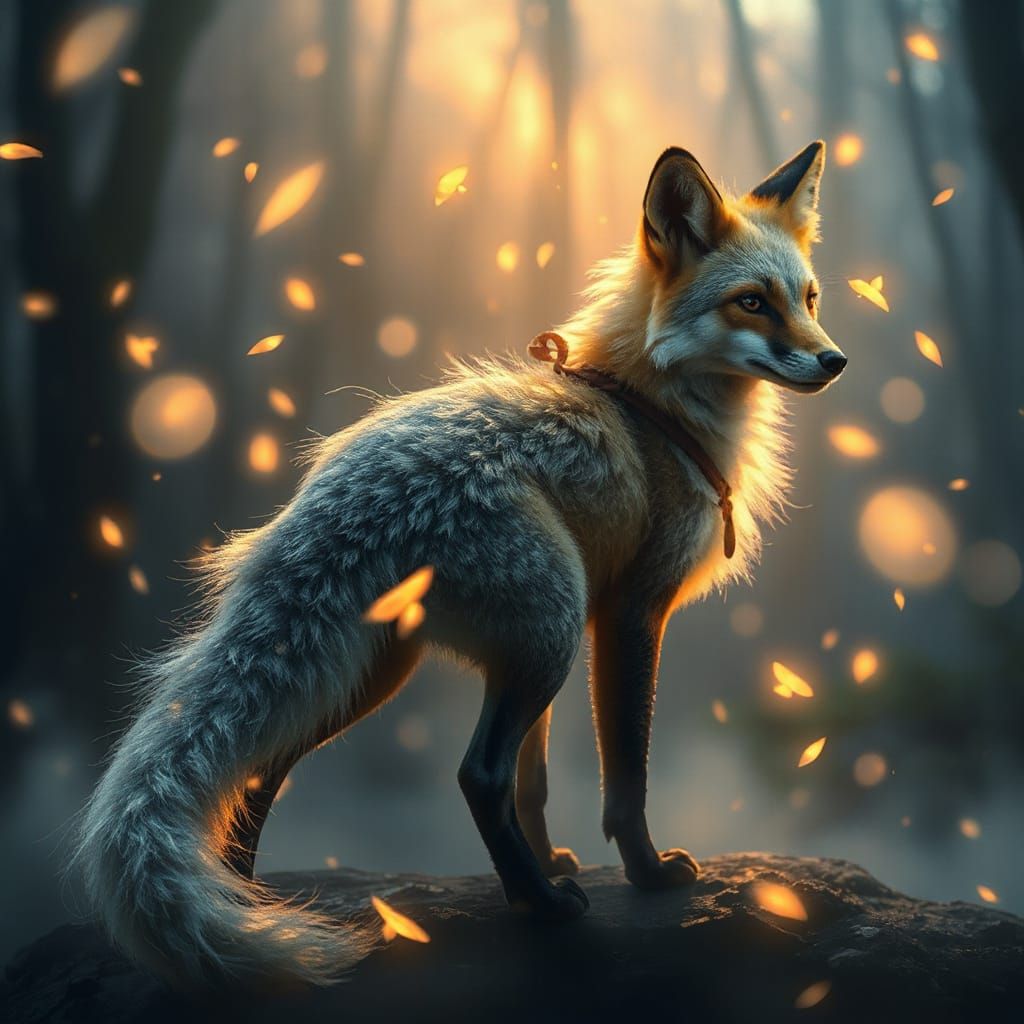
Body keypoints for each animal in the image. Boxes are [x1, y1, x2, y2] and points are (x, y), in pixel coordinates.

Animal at [72, 140, 846, 989]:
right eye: (752, 303)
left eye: (808, 297)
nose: (833, 360)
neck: (654, 407)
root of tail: (334, 500)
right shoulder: (629, 614)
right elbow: (623, 776)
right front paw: (644, 876)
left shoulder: (583, 623)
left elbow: (536, 783)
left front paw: (552, 857)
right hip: (541, 637)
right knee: (476, 775)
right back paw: (540, 908)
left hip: (387, 668)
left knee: (261, 771)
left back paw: (252, 906)